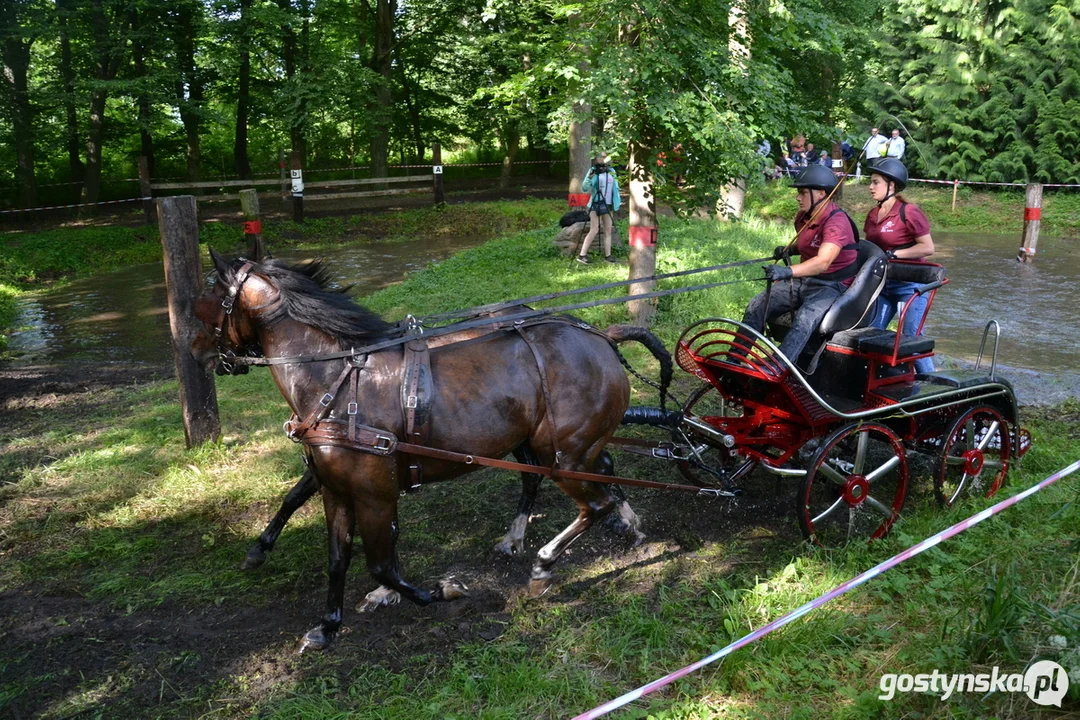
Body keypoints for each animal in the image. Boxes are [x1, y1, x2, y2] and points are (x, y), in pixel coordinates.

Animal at [190, 253, 669, 651]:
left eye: (203, 304)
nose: (195, 354)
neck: (337, 382)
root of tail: (601, 336)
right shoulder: (337, 491)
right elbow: (337, 557)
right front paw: (327, 626)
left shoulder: (375, 494)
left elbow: (383, 565)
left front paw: (441, 590)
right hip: (547, 445)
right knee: (588, 474)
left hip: (564, 456)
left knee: (594, 502)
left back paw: (545, 565)